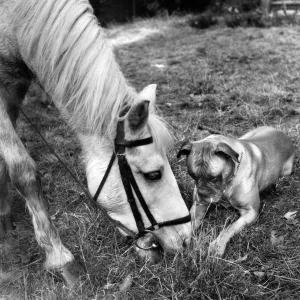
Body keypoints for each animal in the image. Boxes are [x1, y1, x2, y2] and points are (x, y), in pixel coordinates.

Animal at [0, 0, 191, 284]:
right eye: (153, 174)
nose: (187, 239)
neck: (13, 18)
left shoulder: (14, 87)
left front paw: (3, 214)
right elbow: (23, 172)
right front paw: (59, 257)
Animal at [178, 125, 296, 256]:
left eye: (214, 177)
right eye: (192, 175)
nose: (202, 193)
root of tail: (282, 134)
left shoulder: (250, 212)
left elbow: (229, 228)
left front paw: (218, 245)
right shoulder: (198, 206)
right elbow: (190, 223)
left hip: (286, 172)